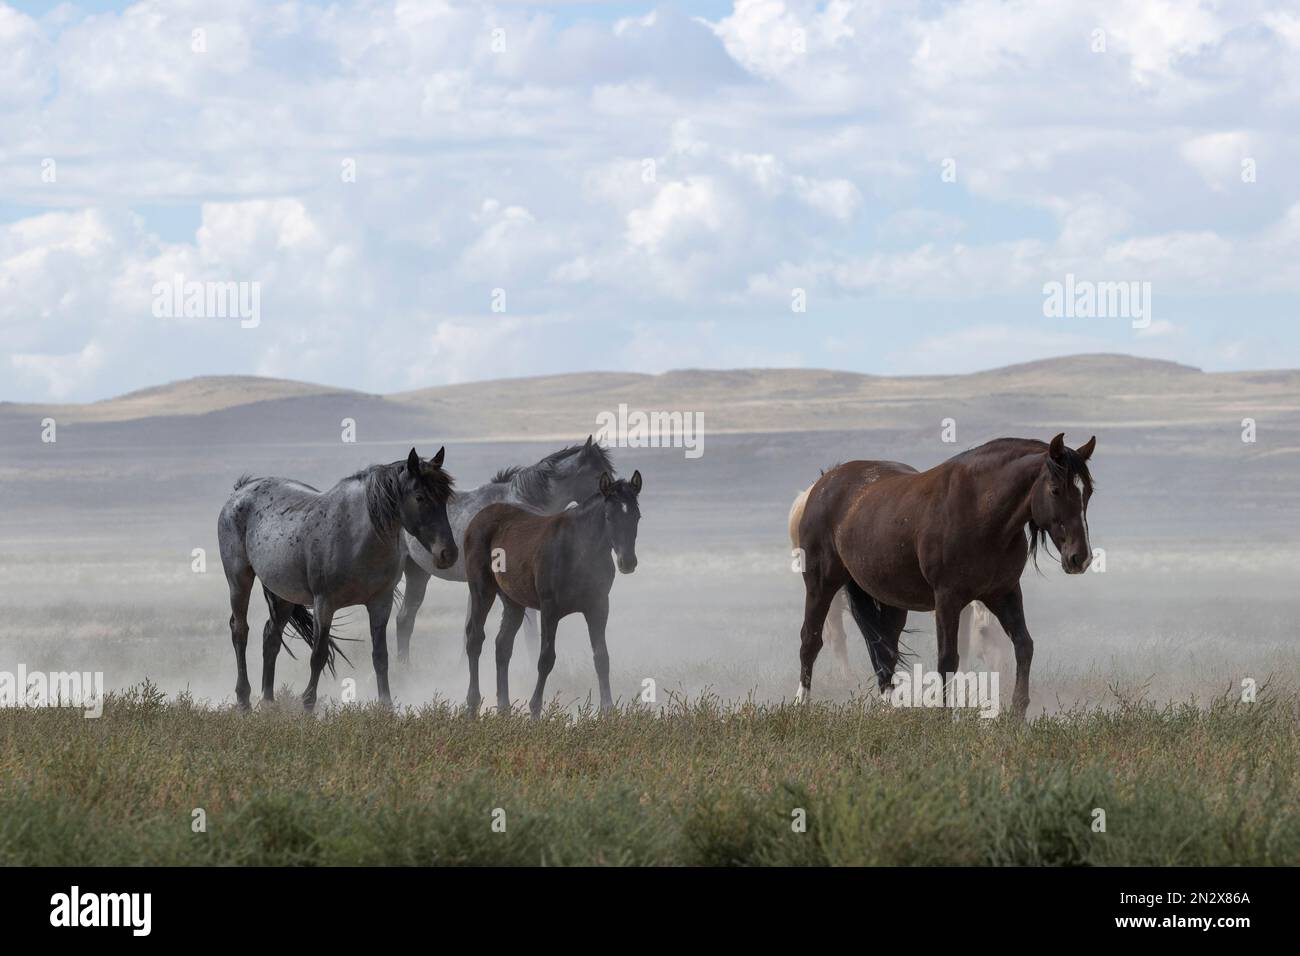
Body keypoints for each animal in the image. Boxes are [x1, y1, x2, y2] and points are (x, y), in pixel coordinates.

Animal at [217, 448, 457, 711]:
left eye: (445, 498)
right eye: (420, 497)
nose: (448, 553)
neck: (356, 538)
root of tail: (240, 490)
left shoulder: (380, 604)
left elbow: (380, 656)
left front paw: (386, 706)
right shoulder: (325, 604)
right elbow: (318, 655)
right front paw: (308, 706)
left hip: (283, 595)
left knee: (271, 637)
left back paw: (269, 703)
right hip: (239, 580)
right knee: (240, 630)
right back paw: (244, 700)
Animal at [461, 470, 642, 718]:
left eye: (637, 516)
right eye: (608, 516)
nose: (627, 562)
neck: (578, 550)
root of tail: (478, 518)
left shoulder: (598, 607)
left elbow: (601, 657)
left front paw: (608, 711)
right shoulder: (550, 610)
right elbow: (546, 659)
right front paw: (535, 711)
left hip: (513, 601)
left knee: (503, 645)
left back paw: (504, 710)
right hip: (482, 590)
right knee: (475, 639)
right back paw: (472, 705)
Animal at [795, 434, 1095, 718]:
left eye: (1088, 492)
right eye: (1056, 490)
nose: (1080, 557)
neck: (979, 511)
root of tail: (824, 483)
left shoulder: (1004, 593)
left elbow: (1024, 645)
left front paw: (1016, 715)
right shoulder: (947, 599)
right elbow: (948, 658)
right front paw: (944, 718)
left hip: (890, 601)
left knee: (884, 650)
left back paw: (889, 711)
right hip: (821, 584)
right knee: (811, 640)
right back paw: (801, 705)